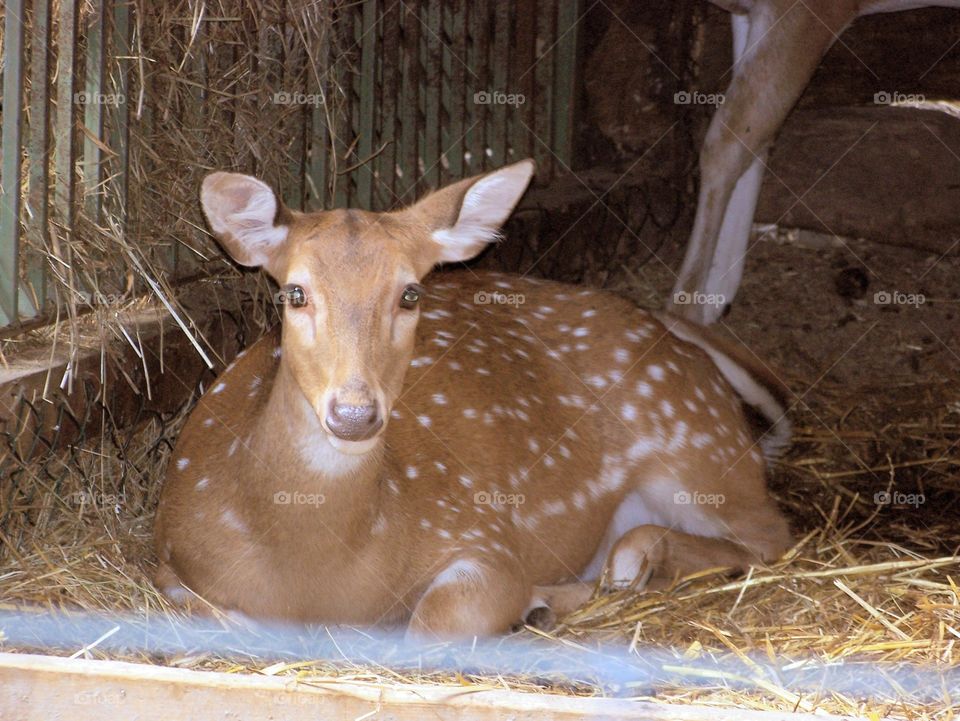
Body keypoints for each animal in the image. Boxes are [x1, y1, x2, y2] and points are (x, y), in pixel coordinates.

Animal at [154, 158, 792, 636]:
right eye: (294, 292)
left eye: (410, 293)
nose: (355, 413)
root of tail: (670, 331)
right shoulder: (171, 562)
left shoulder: (481, 533)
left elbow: (434, 622)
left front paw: (522, 603)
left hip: (696, 445)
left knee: (769, 534)